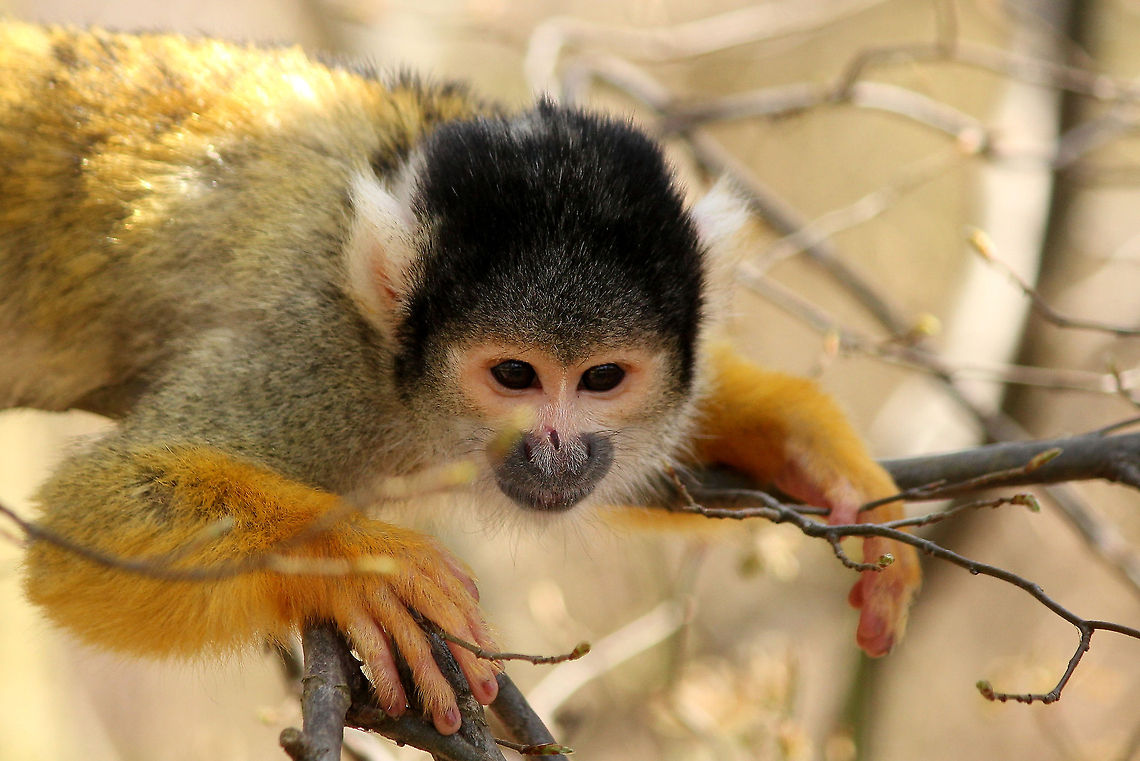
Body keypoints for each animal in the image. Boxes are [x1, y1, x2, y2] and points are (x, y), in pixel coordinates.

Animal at [0, 21, 921, 736]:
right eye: (514, 374)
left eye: (601, 377)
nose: (557, 453)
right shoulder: (316, 356)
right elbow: (90, 518)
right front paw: (363, 566)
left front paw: (806, 440)